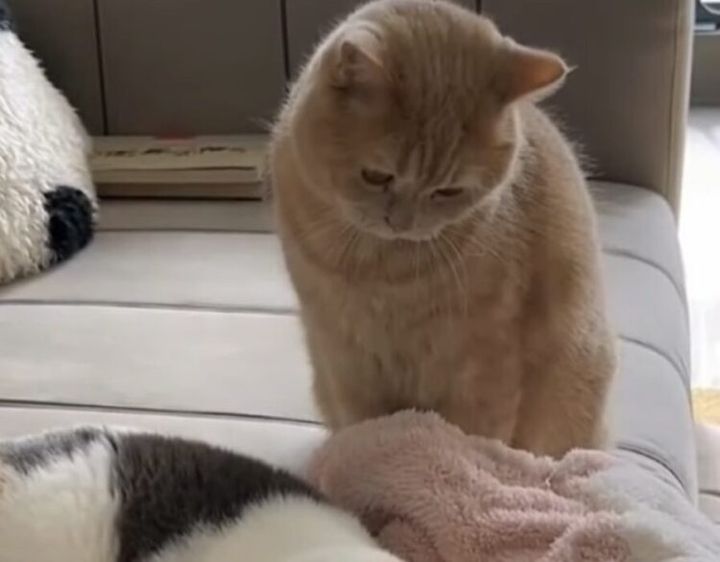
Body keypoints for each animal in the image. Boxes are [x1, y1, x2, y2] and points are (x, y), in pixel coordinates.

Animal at [269, 0, 616, 458]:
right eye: (376, 176)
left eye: (449, 191)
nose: (401, 223)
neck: (381, 274)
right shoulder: (342, 358)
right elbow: (362, 426)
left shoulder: (484, 366)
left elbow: (471, 438)